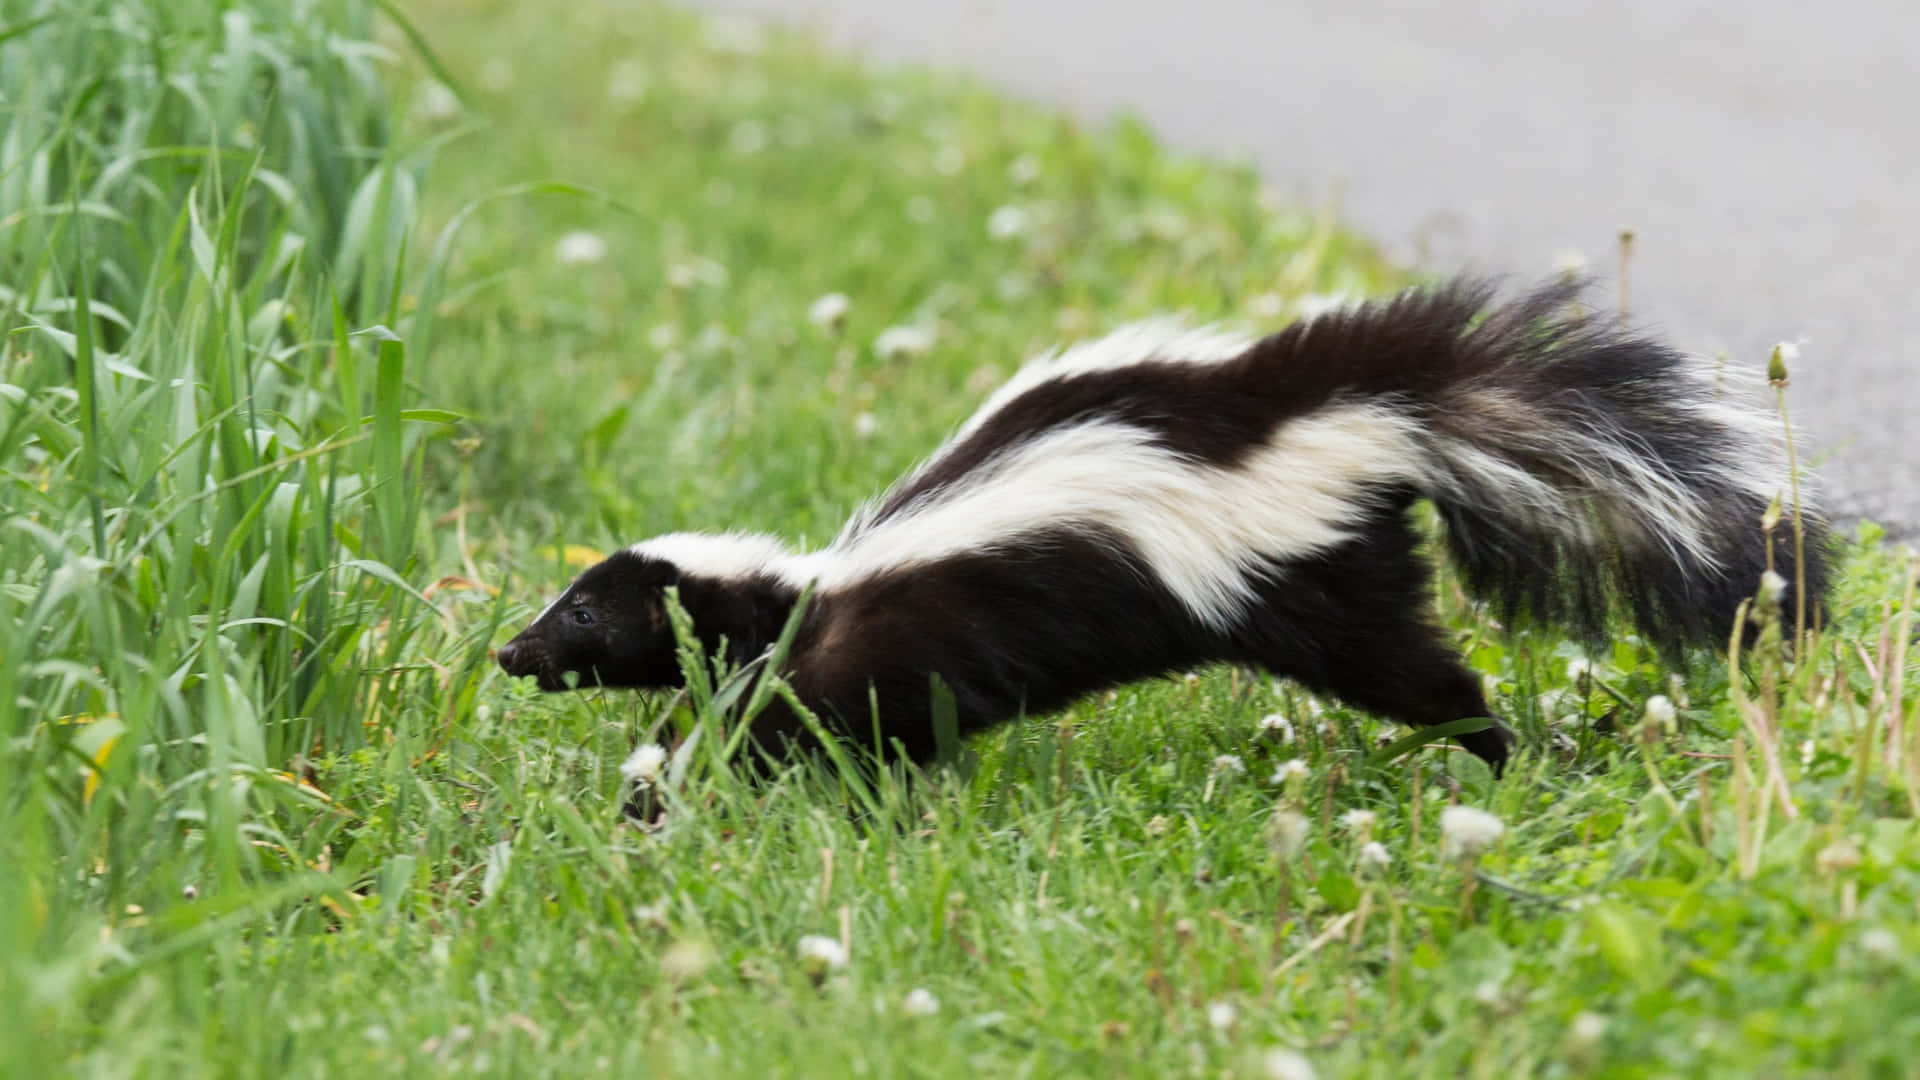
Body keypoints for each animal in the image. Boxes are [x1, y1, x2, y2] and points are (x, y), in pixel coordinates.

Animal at [499, 276, 1827, 772]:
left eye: (582, 613)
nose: (508, 652)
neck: (804, 589)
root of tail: (1348, 416)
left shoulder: (881, 643)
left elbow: (845, 721)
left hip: (1310, 588)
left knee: (1422, 675)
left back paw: (1493, 753)